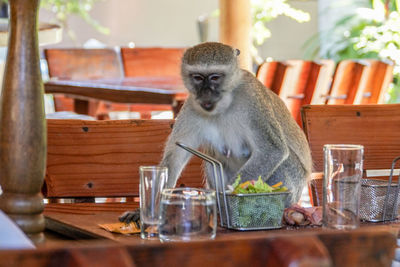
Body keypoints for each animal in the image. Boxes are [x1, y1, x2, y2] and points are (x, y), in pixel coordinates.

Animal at [160, 42, 312, 206]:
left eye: (215, 77)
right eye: (198, 78)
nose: (206, 93)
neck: (225, 104)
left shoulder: (252, 100)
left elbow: (272, 150)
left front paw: (230, 194)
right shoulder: (191, 106)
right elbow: (175, 156)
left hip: (294, 187)